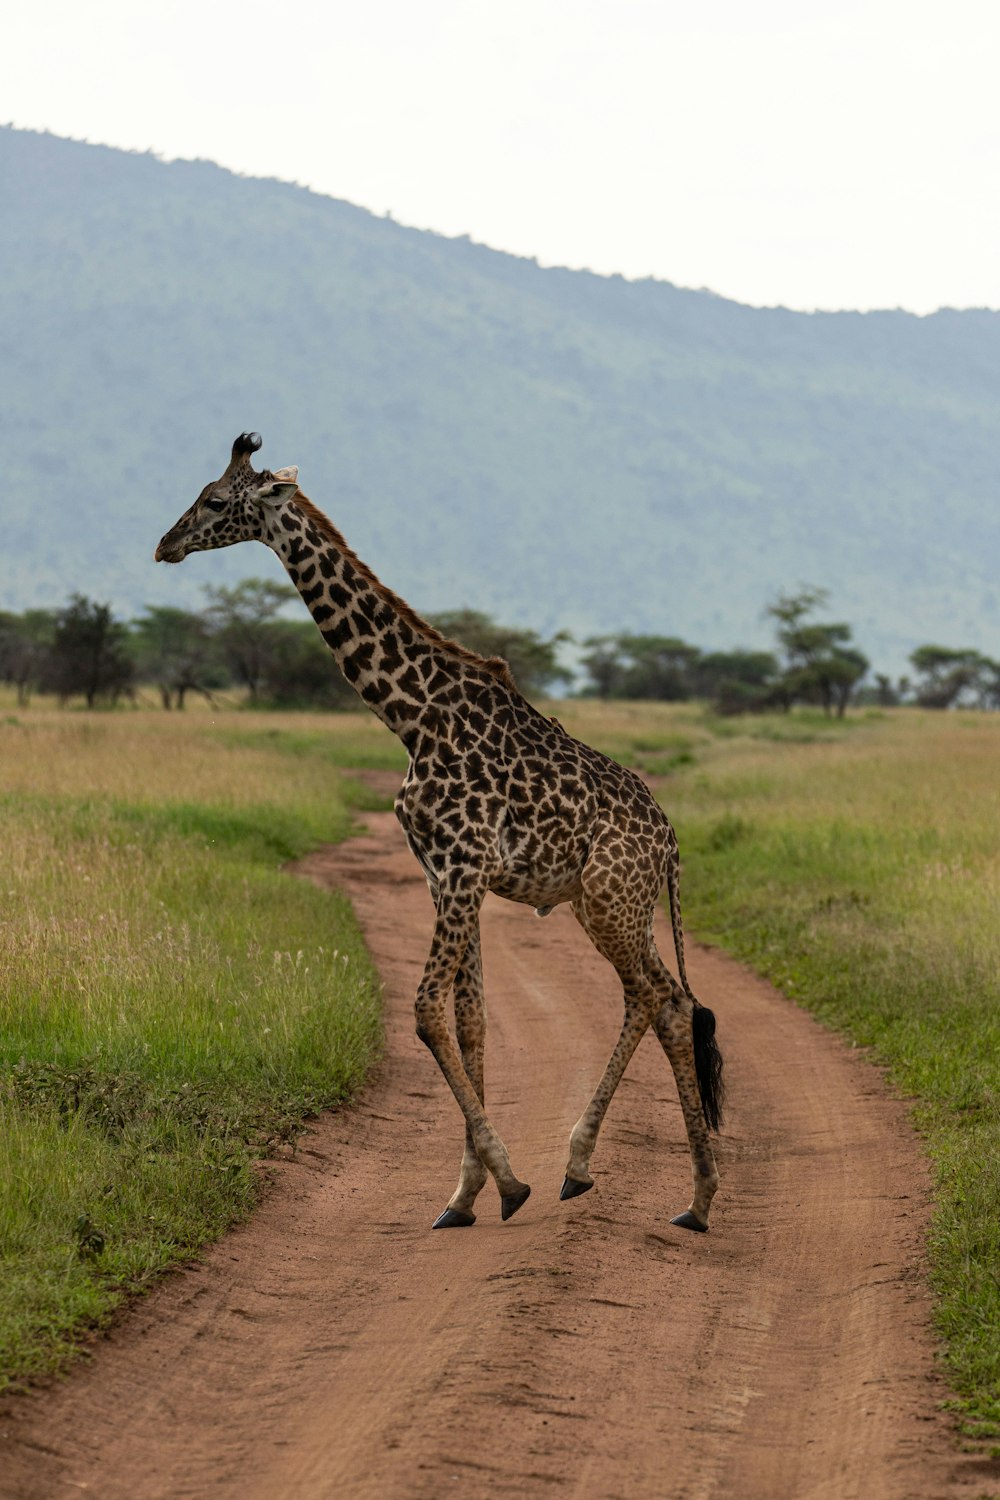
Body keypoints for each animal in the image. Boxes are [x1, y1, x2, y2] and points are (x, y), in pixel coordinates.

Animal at [154, 432, 728, 1230]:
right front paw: (464, 1194)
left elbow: (428, 1010)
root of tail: (670, 841)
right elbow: (471, 1016)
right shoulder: (444, 874)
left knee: (662, 1000)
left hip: (613, 901)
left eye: (213, 500)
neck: (410, 716)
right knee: (660, 999)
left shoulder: (461, 869)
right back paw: (629, 1180)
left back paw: (663, 1190)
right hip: (608, 904)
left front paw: (507, 1184)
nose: (164, 545)